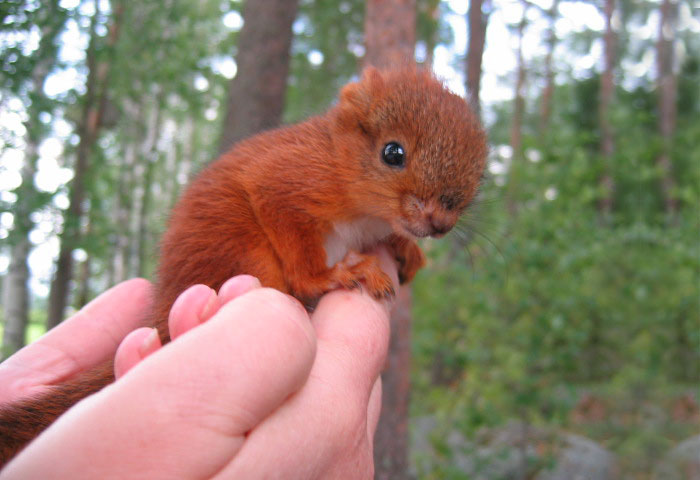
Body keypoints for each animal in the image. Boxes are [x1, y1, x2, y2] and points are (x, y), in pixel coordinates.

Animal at [0, 65, 486, 464]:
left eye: (478, 172)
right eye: (392, 153)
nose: (440, 223)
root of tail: (167, 302)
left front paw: (406, 249)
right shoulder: (287, 182)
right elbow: (294, 240)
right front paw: (334, 274)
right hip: (239, 249)